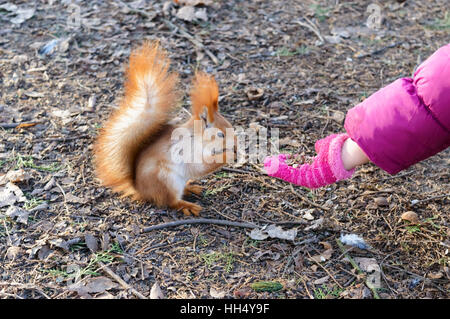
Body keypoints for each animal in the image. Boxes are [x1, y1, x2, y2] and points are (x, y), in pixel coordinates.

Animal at [93, 41, 234, 216]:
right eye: (221, 135)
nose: (236, 144)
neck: (197, 138)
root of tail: (142, 191)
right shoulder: (188, 152)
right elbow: (201, 166)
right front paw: (229, 155)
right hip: (167, 180)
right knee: (171, 202)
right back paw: (188, 206)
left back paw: (191, 188)